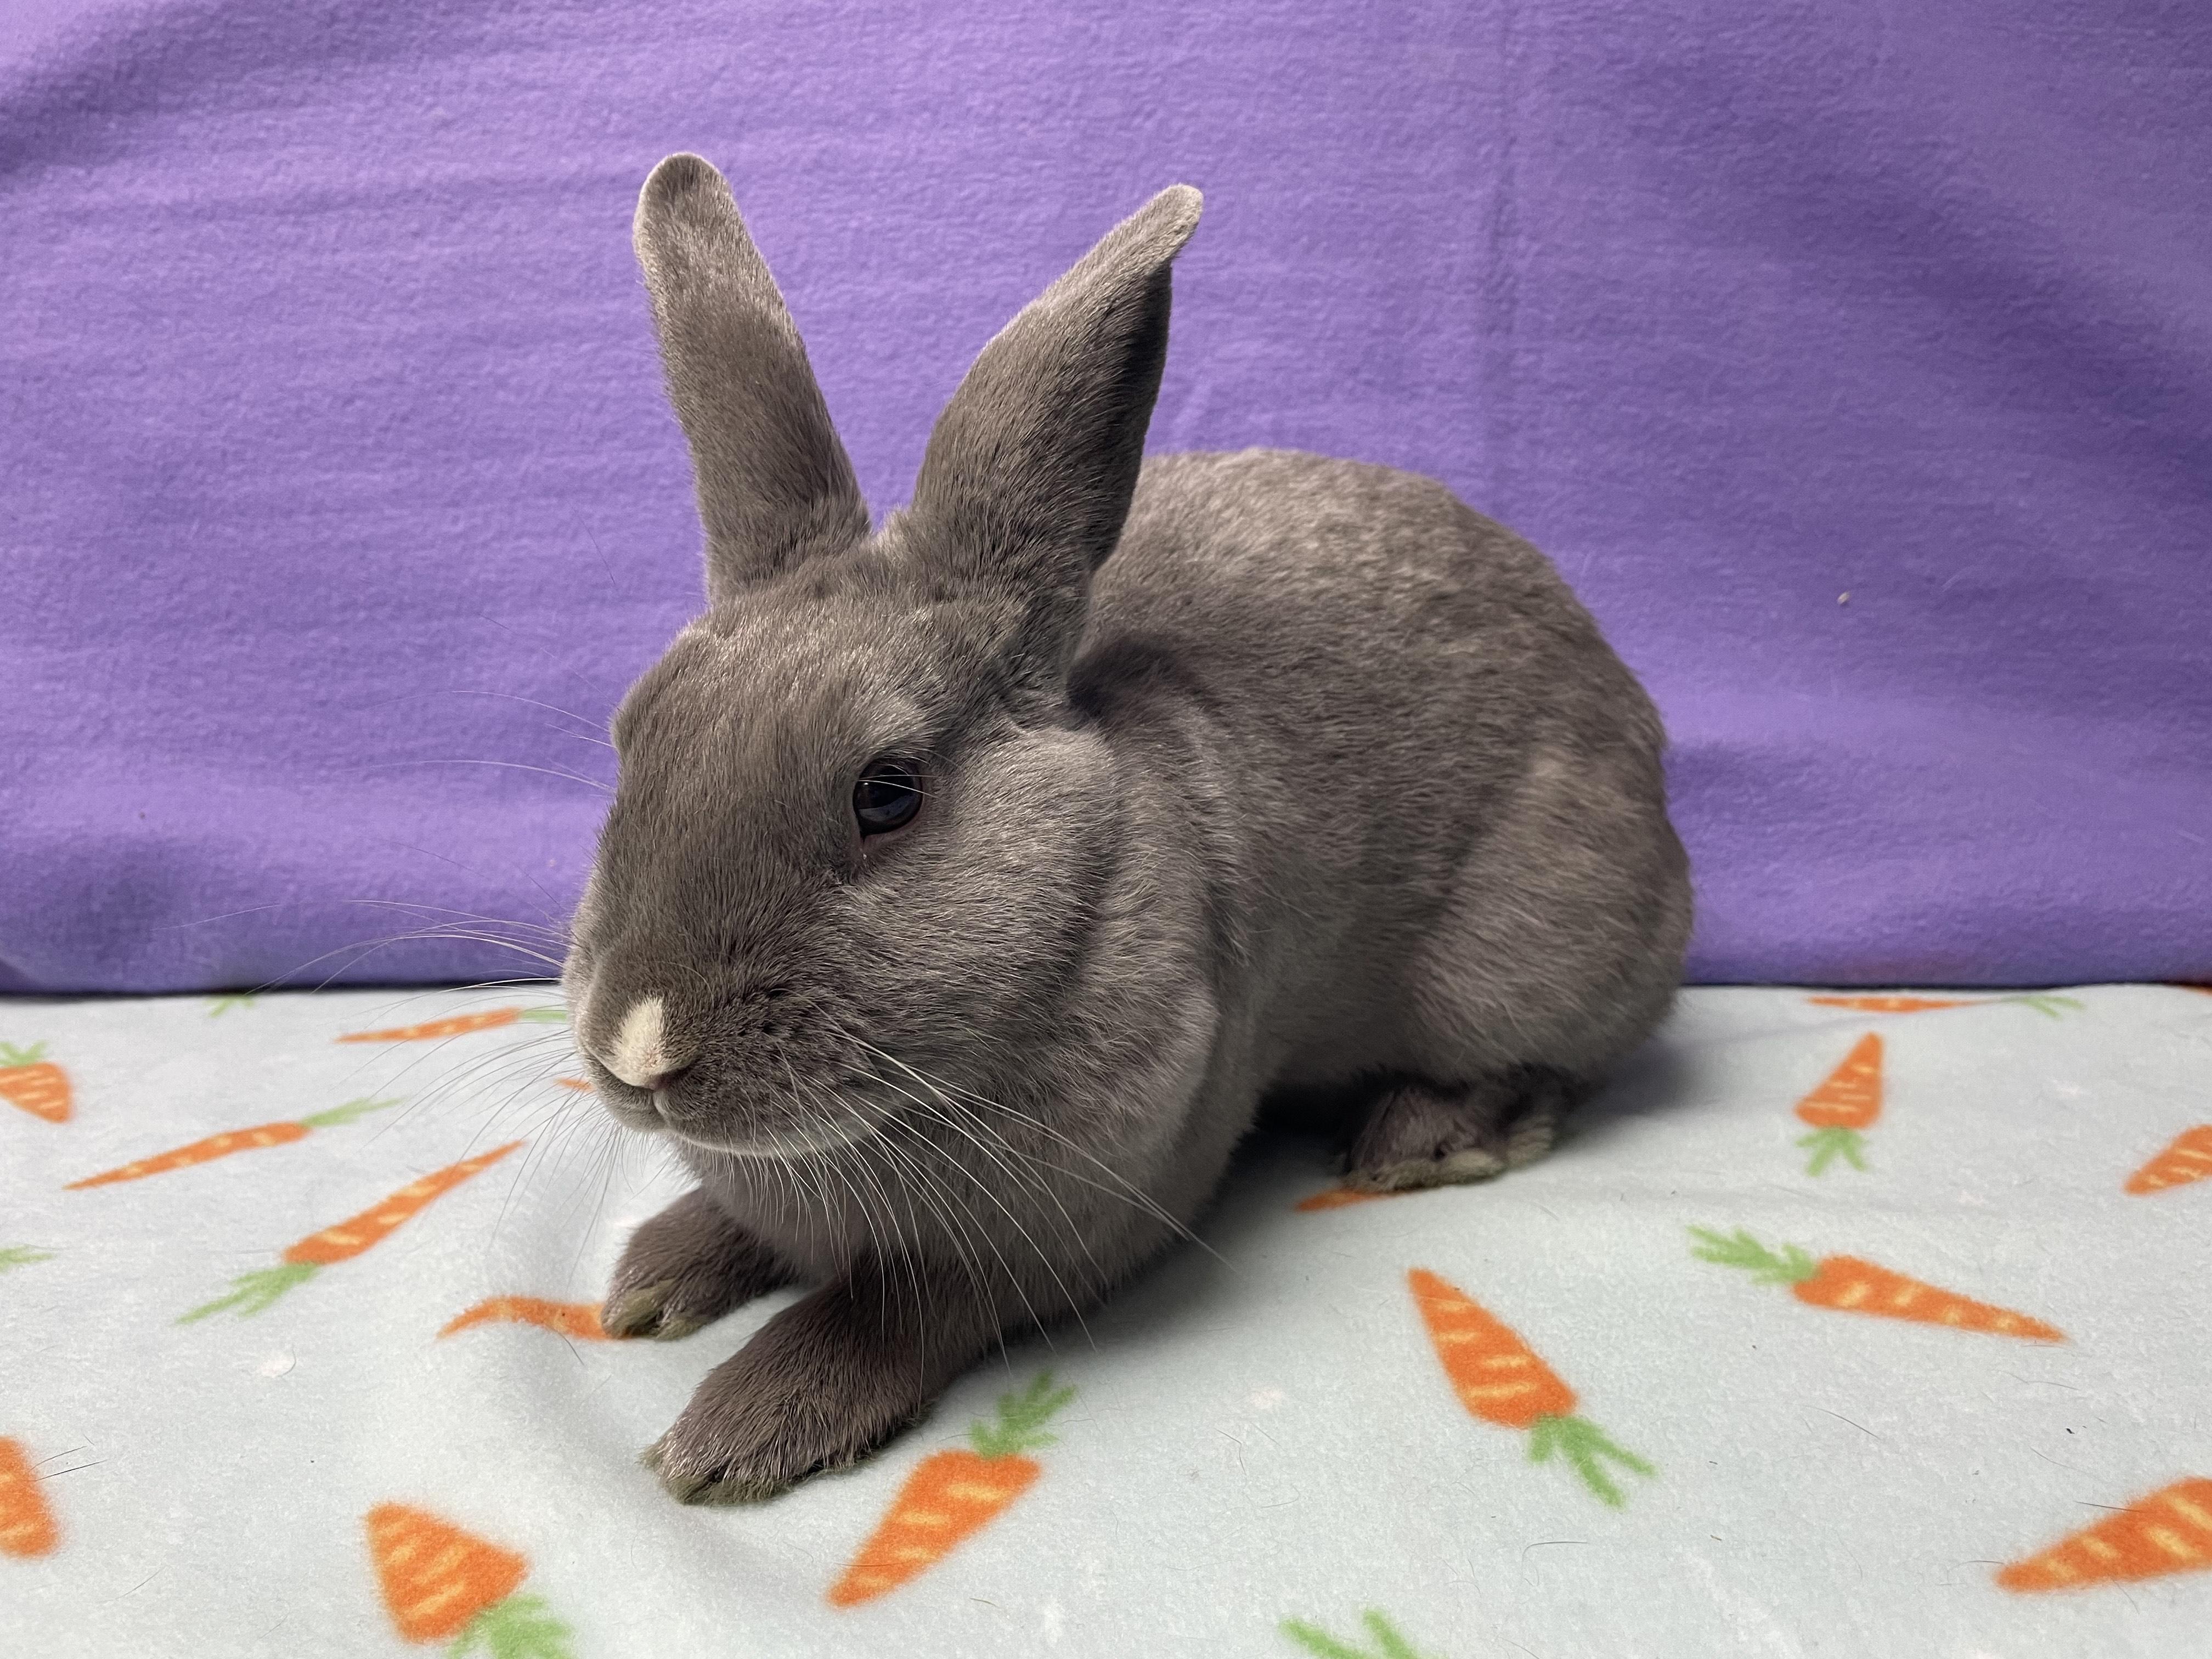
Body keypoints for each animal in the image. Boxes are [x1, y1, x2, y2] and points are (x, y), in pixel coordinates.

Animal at [563, 153, 1692, 1504]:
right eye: (632, 739)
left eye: (887, 792)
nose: (639, 1048)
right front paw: (654, 1280)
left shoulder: (1068, 1223)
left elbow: (897, 1310)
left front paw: (738, 1432)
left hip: (1528, 948)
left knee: (1560, 1059)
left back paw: (1424, 1138)